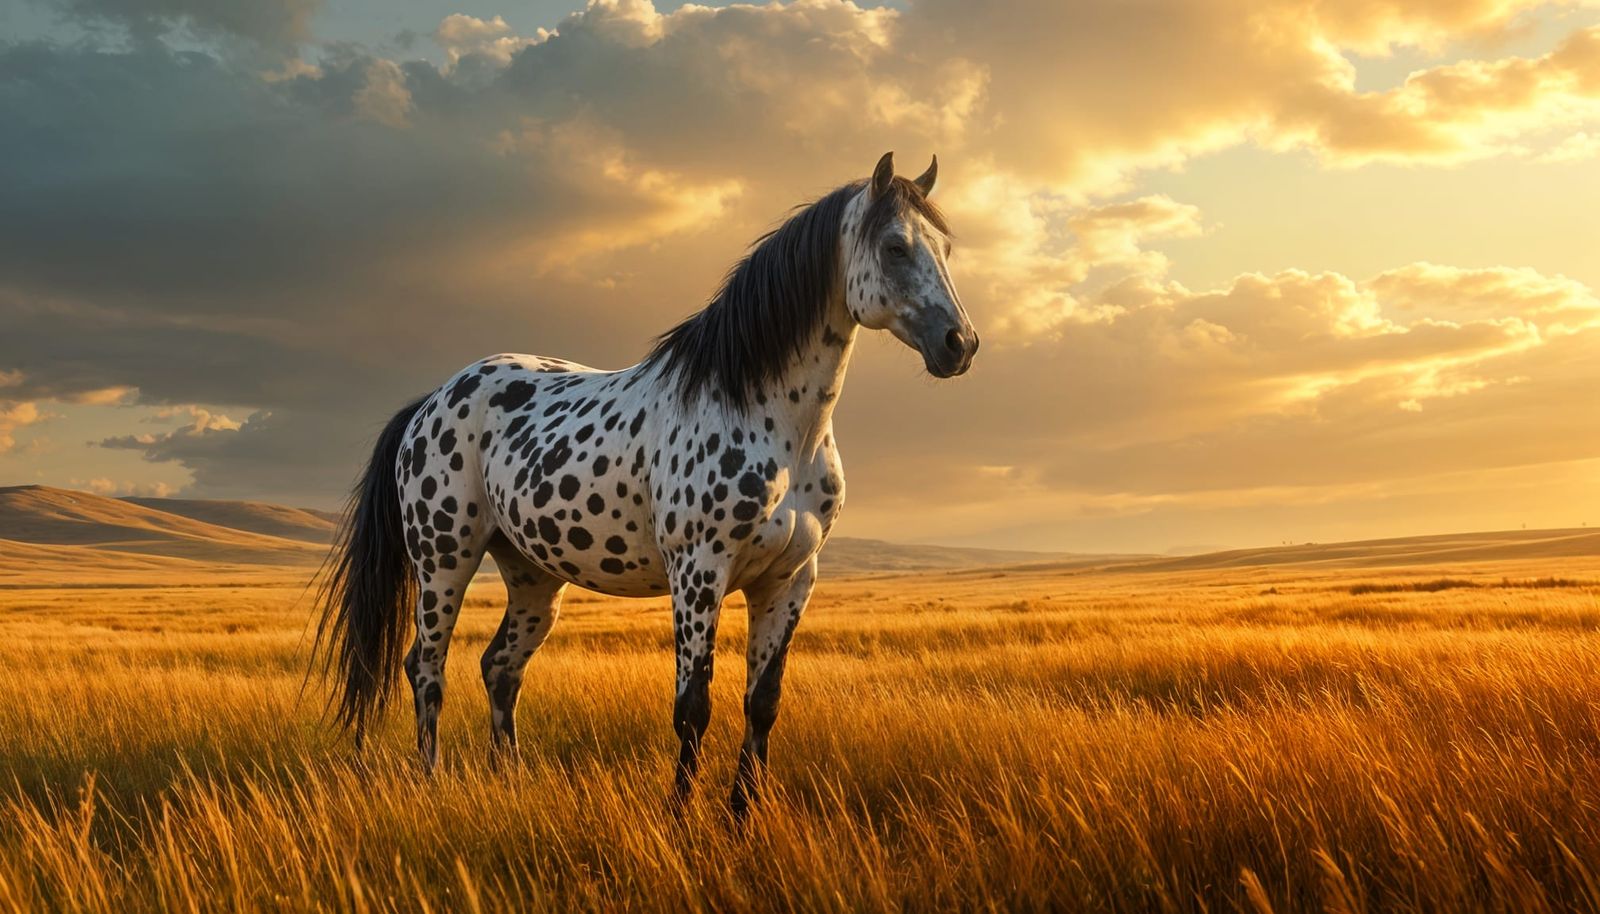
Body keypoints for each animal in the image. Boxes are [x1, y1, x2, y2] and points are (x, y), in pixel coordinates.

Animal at [316, 151, 979, 814]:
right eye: (894, 247)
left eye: (946, 246)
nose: (961, 344)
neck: (770, 418)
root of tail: (432, 400)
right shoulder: (699, 572)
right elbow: (693, 707)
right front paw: (681, 815)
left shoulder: (790, 579)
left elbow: (762, 704)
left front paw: (742, 815)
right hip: (443, 561)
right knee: (427, 668)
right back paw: (430, 782)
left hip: (532, 574)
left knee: (500, 667)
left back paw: (511, 780)